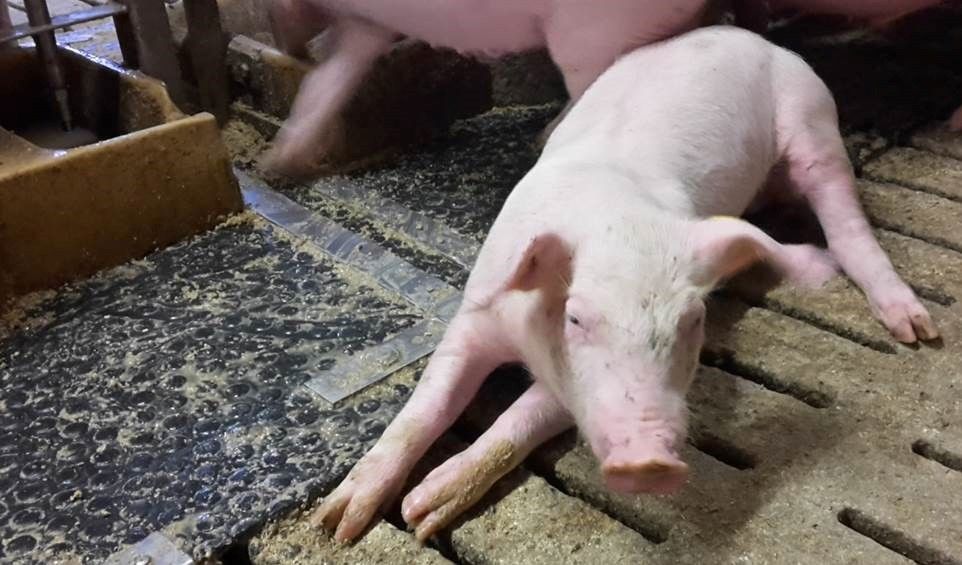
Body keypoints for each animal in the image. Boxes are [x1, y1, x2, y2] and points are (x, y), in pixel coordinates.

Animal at [312, 26, 939, 543]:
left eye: (693, 321)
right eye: (576, 317)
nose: (649, 461)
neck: (615, 212)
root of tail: (751, 37)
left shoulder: (572, 390)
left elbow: (518, 421)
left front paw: (423, 512)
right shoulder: (475, 315)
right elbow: (425, 408)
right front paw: (342, 525)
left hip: (812, 118)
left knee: (845, 216)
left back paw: (917, 331)